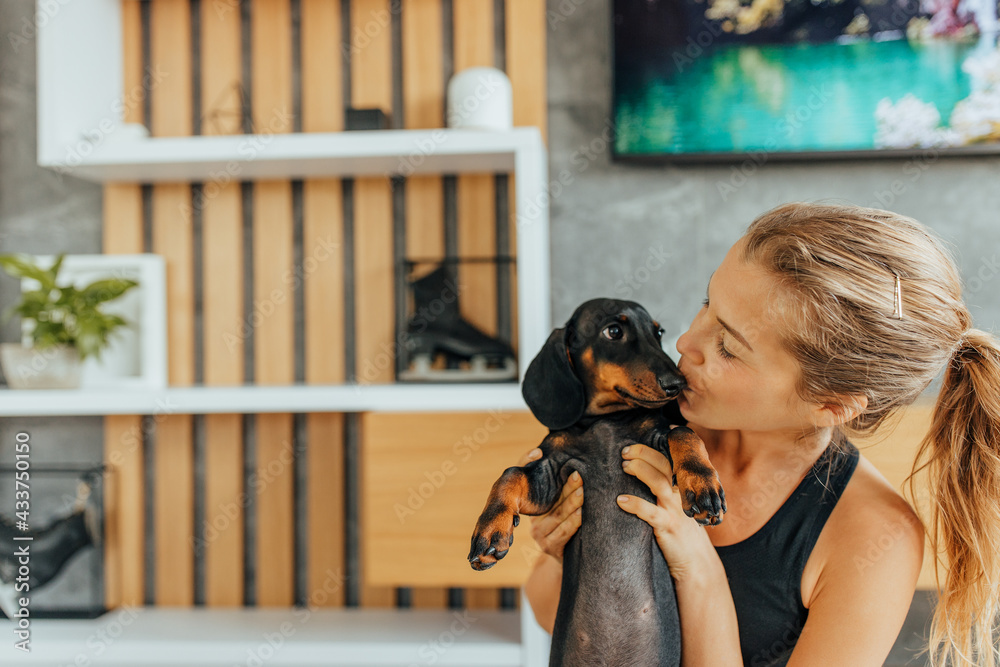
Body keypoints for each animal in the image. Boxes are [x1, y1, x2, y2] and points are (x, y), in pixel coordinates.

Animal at [468, 298, 728, 667]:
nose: (677, 384)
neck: (605, 422)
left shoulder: (655, 440)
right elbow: (512, 473)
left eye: (659, 331)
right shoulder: (551, 475)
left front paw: (703, 486)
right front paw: (490, 531)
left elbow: (684, 433)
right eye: (613, 331)